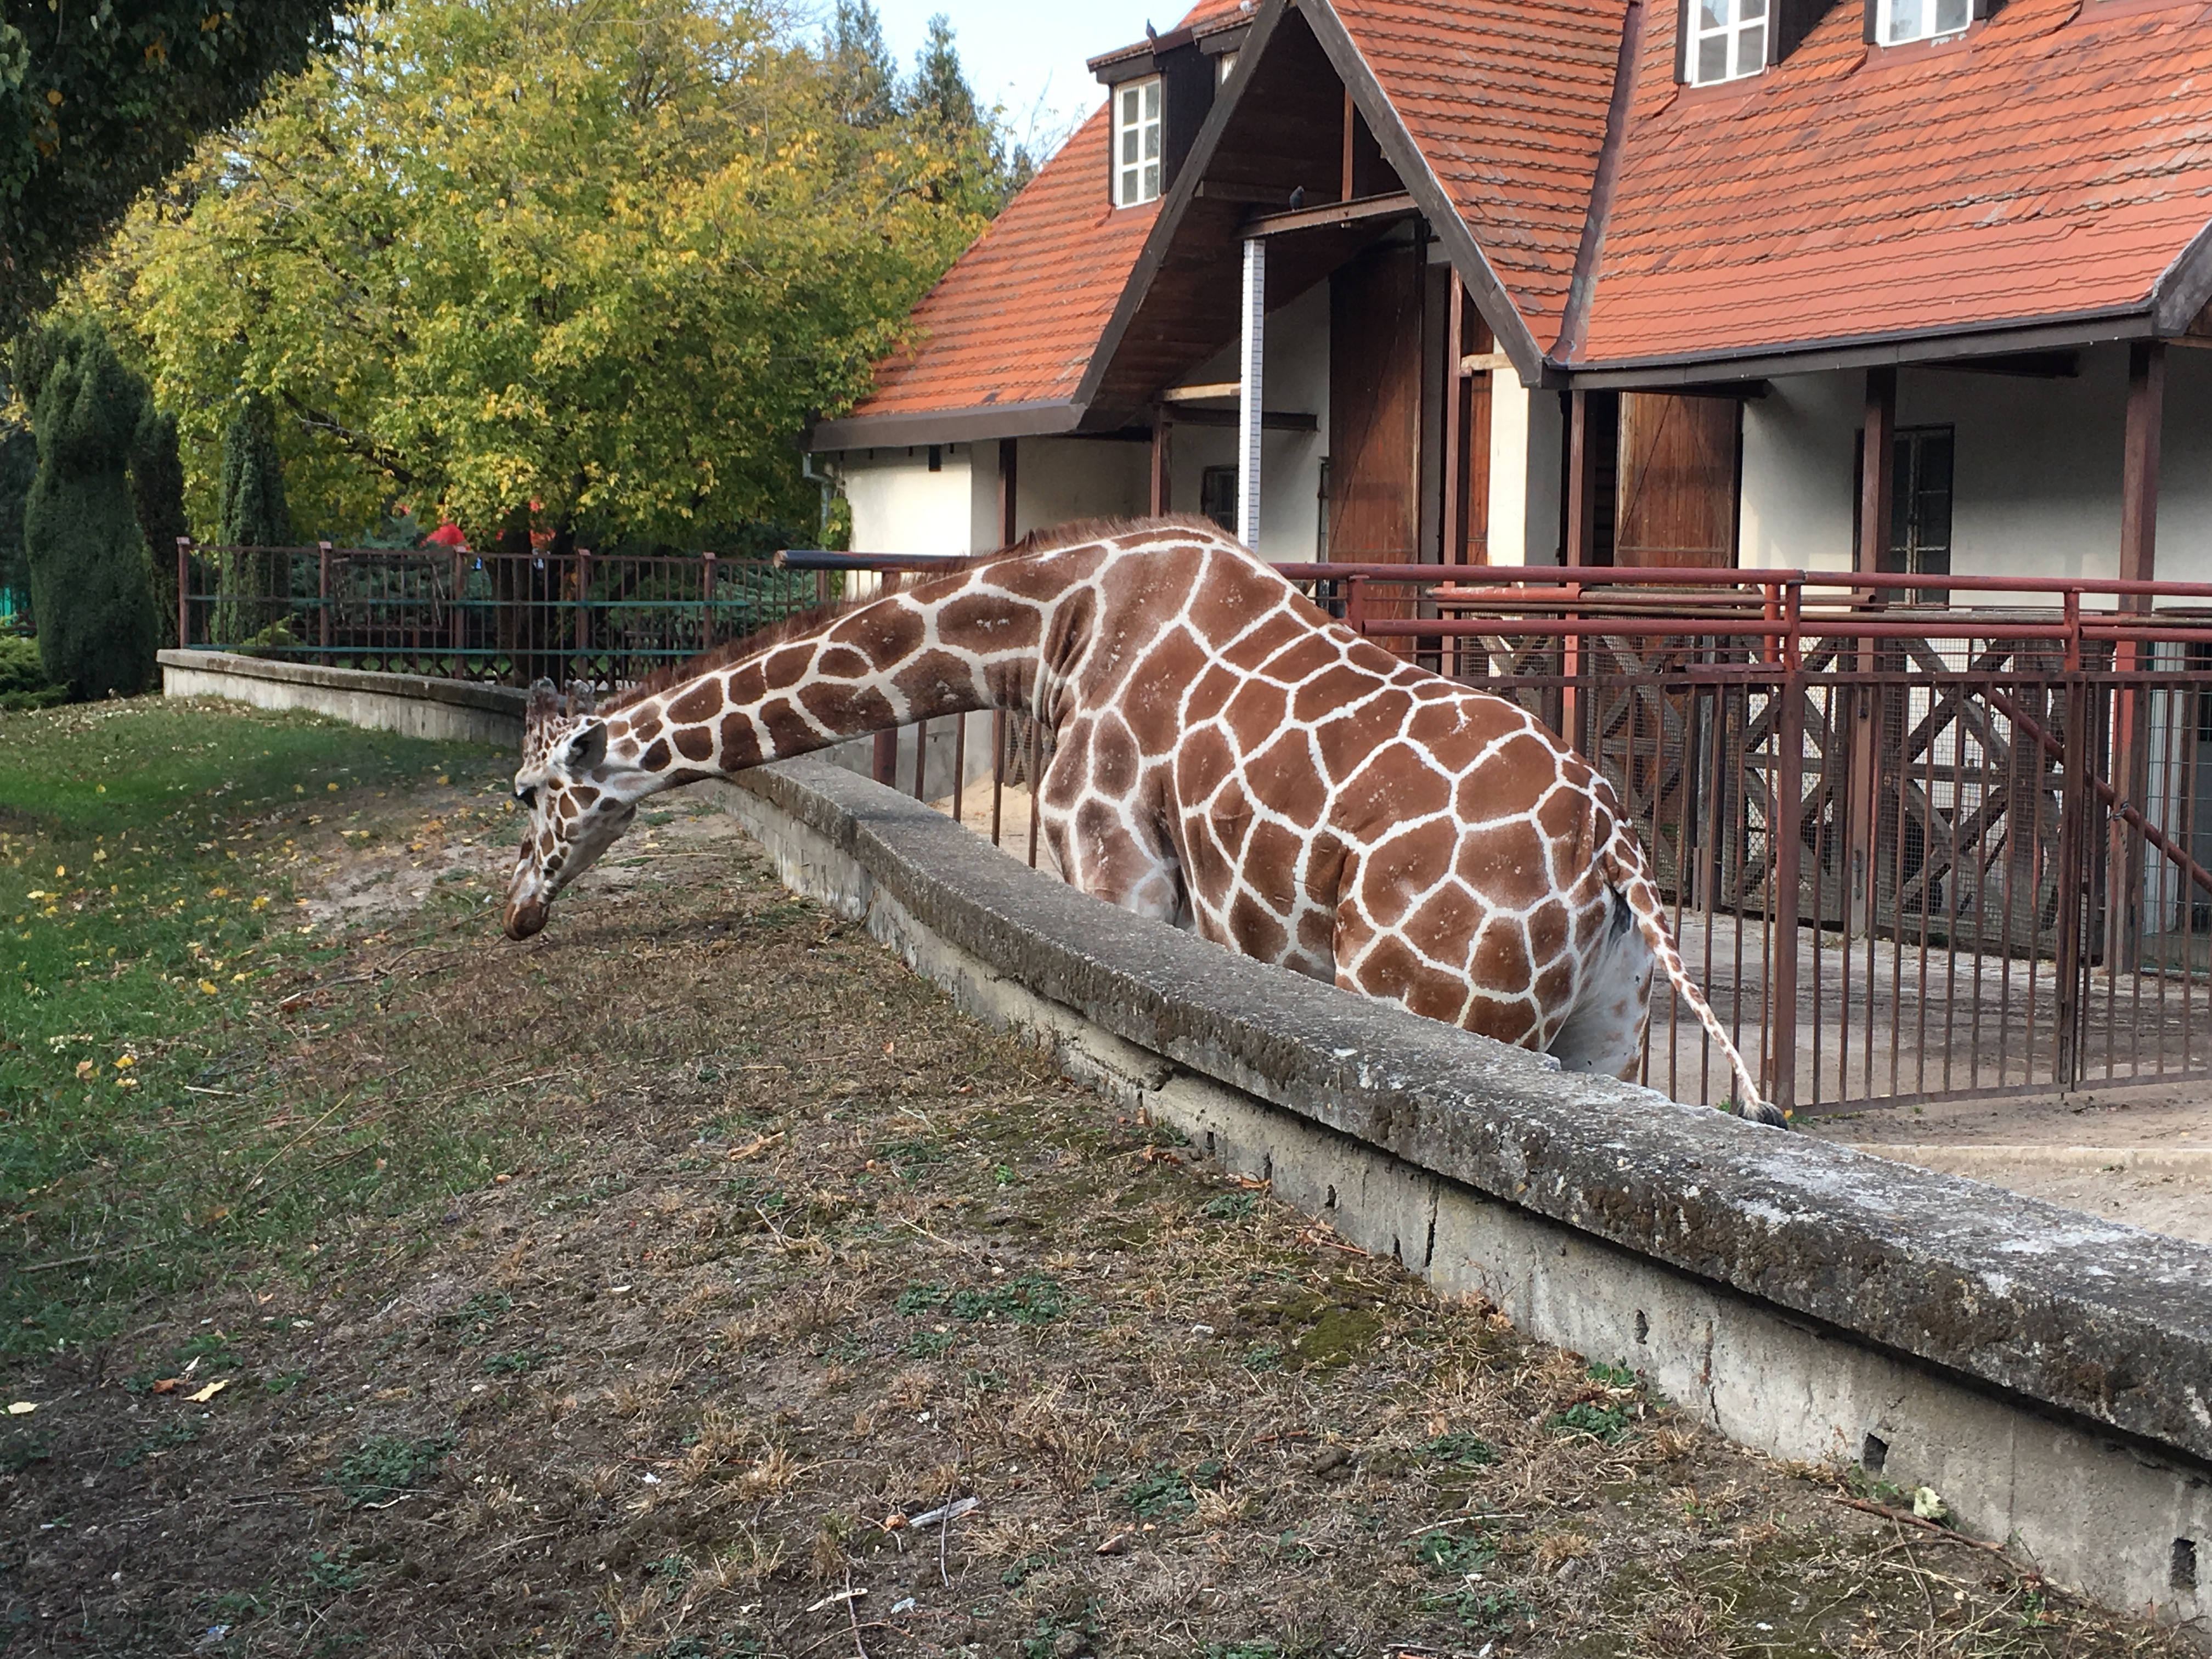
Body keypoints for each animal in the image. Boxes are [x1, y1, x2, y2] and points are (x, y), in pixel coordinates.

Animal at [509, 520, 1787, 1124]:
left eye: (523, 795)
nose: (513, 911)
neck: (1050, 627)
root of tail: (1610, 845)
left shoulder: (1114, 858)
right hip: (1606, 1027)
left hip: (1438, 994)